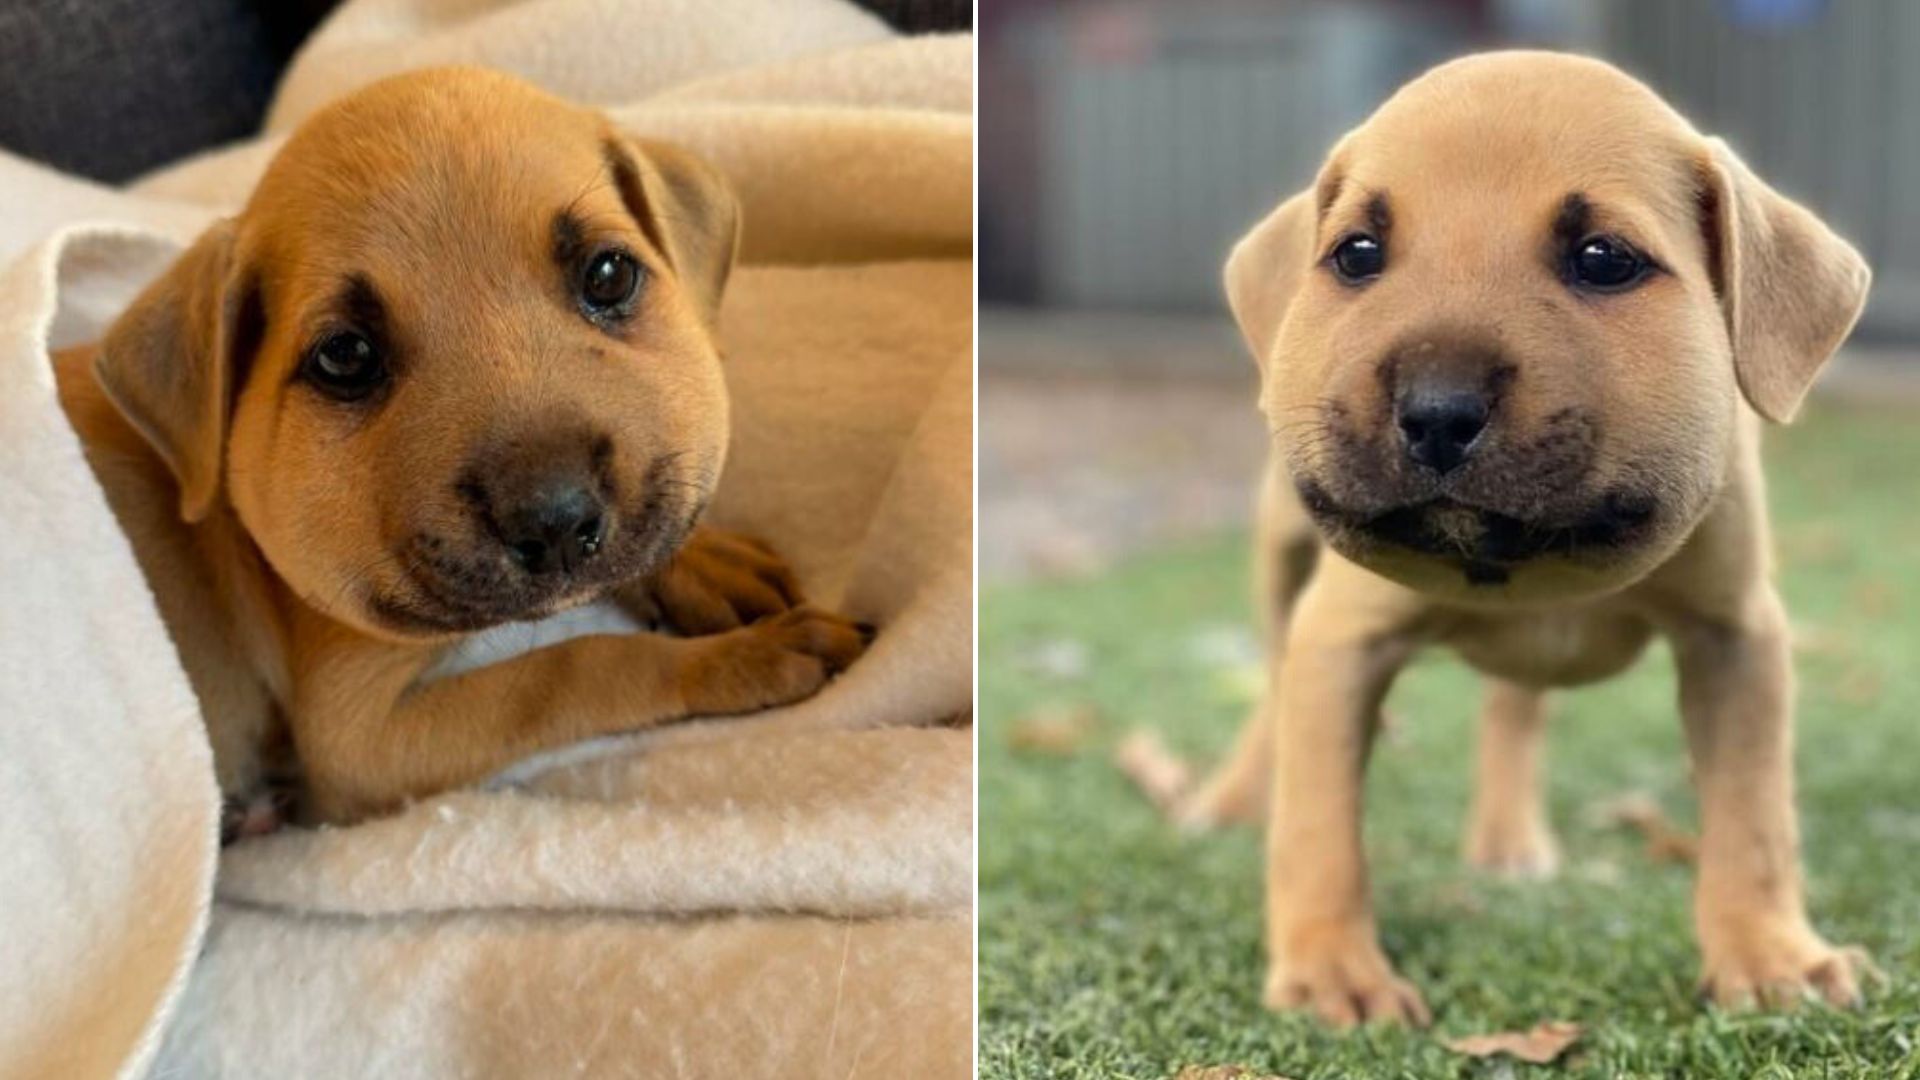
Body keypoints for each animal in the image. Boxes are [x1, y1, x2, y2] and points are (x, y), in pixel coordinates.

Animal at [54, 65, 871, 822]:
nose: (557, 520)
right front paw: (739, 659)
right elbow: (573, 669)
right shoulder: (359, 737)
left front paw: (706, 562)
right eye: (344, 356)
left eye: (609, 273)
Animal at [1182, 52, 1873, 1022]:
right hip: (1279, 563)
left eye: (1603, 259)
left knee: (1513, 705)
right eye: (1357, 254)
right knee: (1276, 683)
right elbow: (1318, 821)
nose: (1436, 410)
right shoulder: (1340, 638)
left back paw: (1508, 837)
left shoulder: (1735, 637)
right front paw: (1330, 969)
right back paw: (1237, 795)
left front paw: (1768, 955)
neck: (1537, 565)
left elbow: (1754, 817)